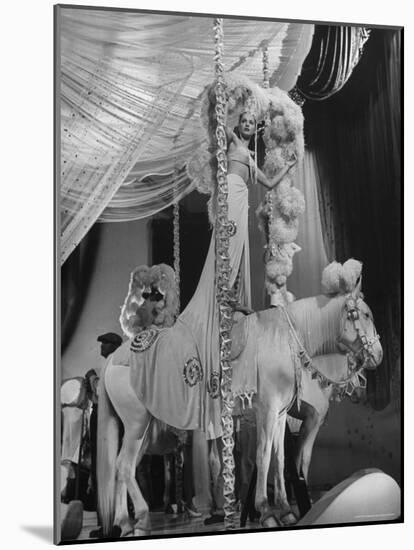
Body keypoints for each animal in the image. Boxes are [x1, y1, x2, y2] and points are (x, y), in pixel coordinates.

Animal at [96, 278, 382, 536]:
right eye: (366, 314)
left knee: (122, 468)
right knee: (124, 466)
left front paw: (285, 510)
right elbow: (264, 456)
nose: (378, 354)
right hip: (137, 423)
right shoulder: (268, 413)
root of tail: (114, 358)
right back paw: (142, 517)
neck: (282, 342)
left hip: (141, 430)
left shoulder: (280, 417)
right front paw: (266, 511)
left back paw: (124, 522)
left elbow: (279, 459)